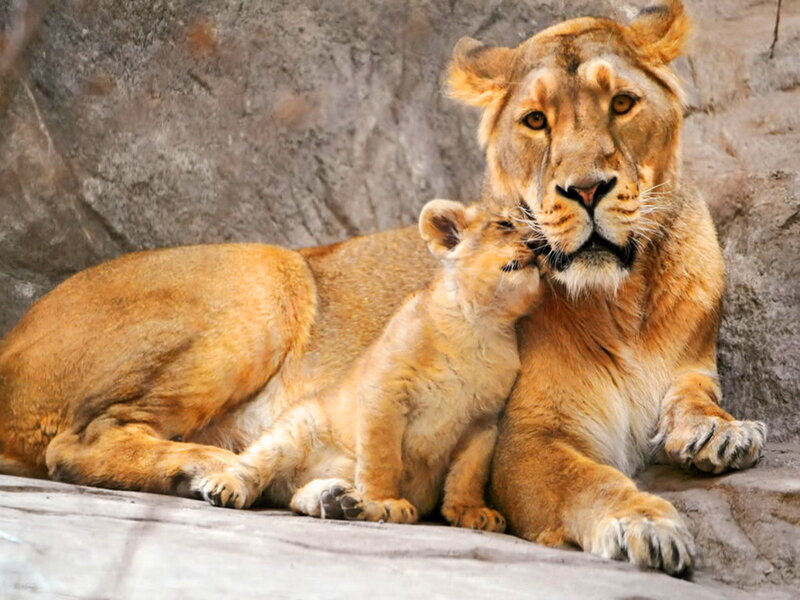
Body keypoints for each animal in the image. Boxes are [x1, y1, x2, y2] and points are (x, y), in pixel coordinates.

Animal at [194, 200, 538, 532]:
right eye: (505, 224)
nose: (539, 244)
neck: (479, 326)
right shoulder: (385, 390)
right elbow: (383, 457)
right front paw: (385, 501)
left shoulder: (483, 421)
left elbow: (469, 471)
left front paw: (470, 512)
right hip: (296, 428)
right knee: (253, 464)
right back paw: (227, 487)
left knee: (295, 497)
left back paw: (336, 500)